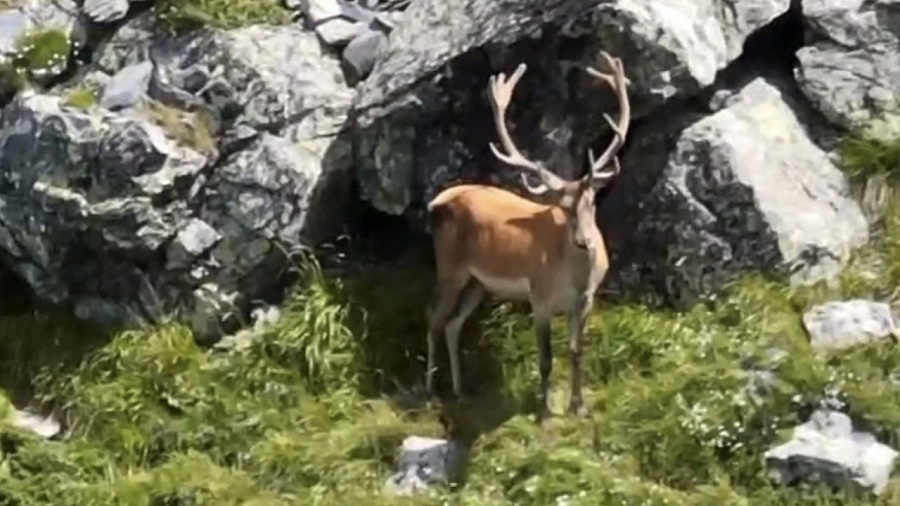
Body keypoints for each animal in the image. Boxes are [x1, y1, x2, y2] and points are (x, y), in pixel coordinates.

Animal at [424, 51, 628, 424]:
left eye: (592, 202)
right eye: (561, 207)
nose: (584, 241)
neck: (576, 278)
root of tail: (436, 204)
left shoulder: (586, 301)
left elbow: (577, 351)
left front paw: (579, 407)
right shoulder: (540, 296)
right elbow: (546, 359)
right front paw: (544, 412)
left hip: (479, 284)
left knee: (452, 324)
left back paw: (460, 390)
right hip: (449, 266)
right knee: (434, 319)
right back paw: (432, 393)